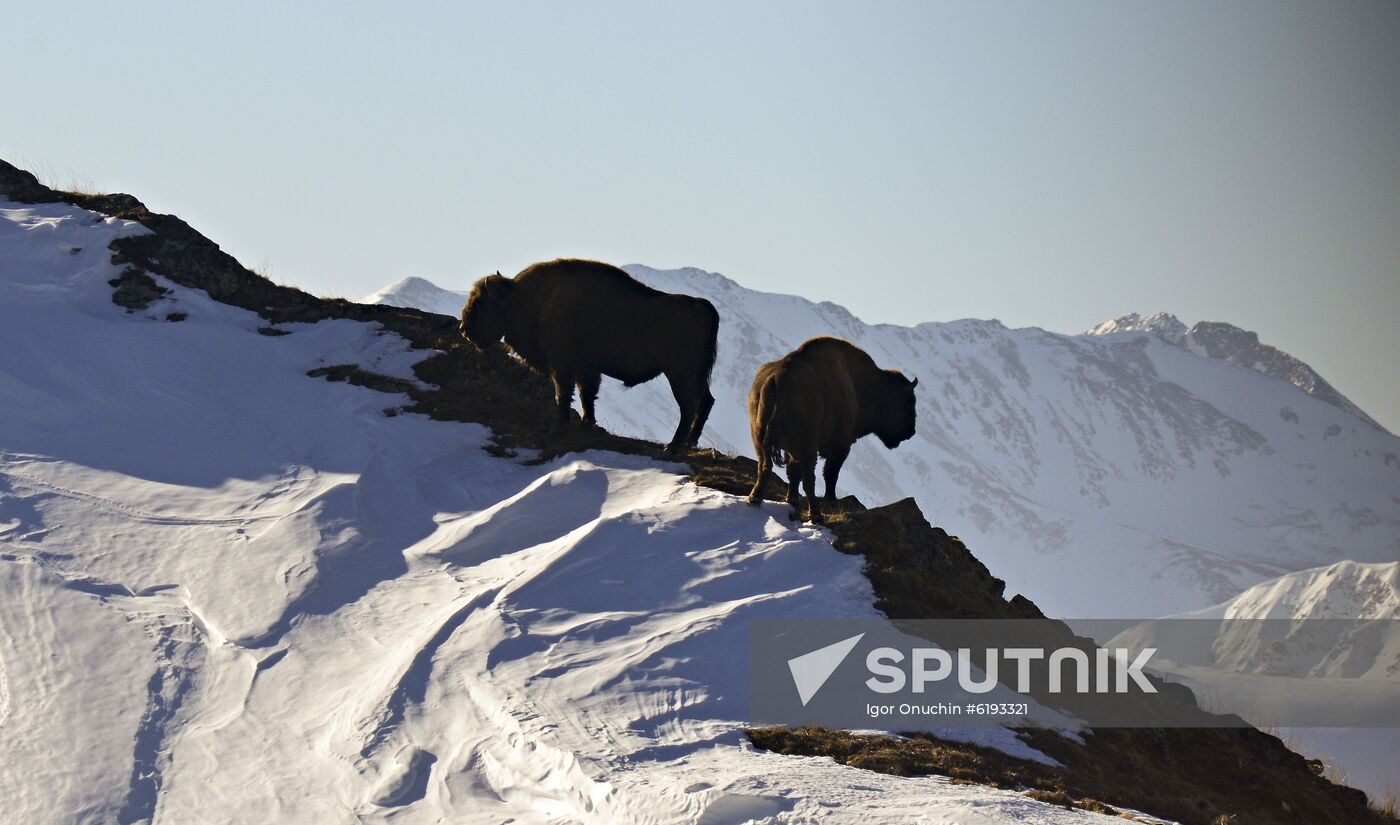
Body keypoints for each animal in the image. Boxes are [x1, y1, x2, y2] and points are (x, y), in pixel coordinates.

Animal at [462, 257, 722, 451]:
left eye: (481, 302)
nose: (464, 329)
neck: (528, 299)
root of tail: (703, 306)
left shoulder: (563, 366)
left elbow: (564, 394)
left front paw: (559, 428)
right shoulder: (586, 369)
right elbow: (587, 395)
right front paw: (587, 424)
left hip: (679, 374)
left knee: (688, 407)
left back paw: (673, 446)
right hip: (695, 374)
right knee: (705, 401)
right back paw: (688, 444)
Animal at [750, 337, 912, 523]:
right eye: (907, 401)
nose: (910, 432)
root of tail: (777, 379)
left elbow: (793, 473)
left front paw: (791, 499)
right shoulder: (841, 447)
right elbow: (830, 473)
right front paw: (831, 500)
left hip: (760, 439)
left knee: (765, 467)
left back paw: (755, 499)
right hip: (807, 447)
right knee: (809, 479)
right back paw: (816, 516)